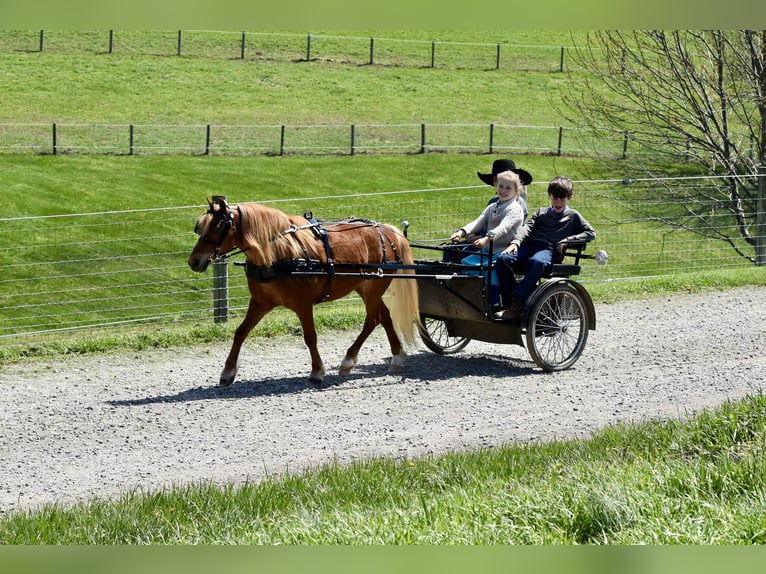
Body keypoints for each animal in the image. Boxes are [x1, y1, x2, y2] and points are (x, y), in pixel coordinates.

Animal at [188, 197, 420, 387]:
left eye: (219, 226)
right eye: (201, 227)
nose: (194, 261)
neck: (280, 255)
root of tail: (386, 230)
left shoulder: (303, 305)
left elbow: (310, 337)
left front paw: (316, 372)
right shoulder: (260, 302)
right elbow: (240, 332)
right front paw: (227, 372)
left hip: (373, 287)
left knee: (372, 319)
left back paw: (349, 360)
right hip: (364, 287)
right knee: (384, 316)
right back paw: (396, 357)